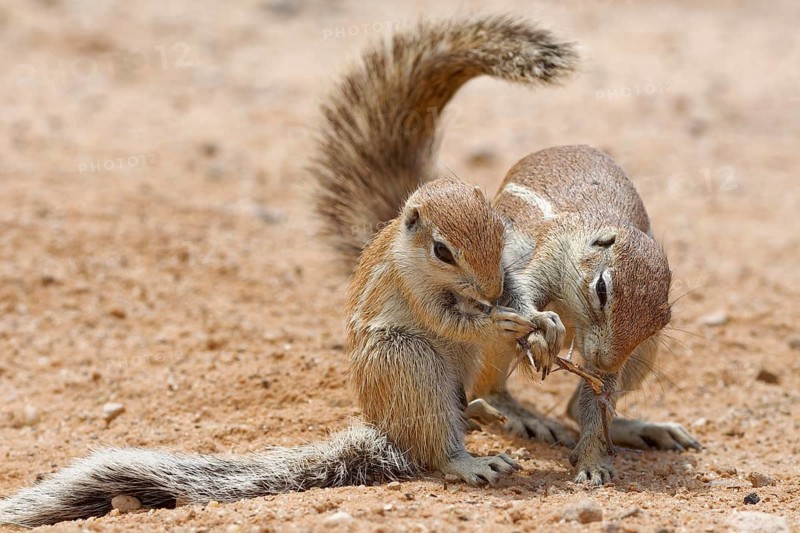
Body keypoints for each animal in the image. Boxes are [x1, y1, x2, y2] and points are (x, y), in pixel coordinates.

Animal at [0, 16, 575, 527]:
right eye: (442, 250)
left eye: (500, 226)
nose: (490, 292)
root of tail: (385, 432)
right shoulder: (412, 288)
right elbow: (446, 318)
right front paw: (494, 319)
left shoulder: (504, 268)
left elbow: (519, 287)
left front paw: (539, 319)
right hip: (407, 364)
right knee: (435, 447)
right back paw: (471, 460)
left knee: (468, 402)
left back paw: (496, 412)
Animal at [472, 145, 702, 485]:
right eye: (602, 289)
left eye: (663, 321)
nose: (606, 362)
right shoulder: (551, 251)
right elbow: (525, 291)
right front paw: (542, 329)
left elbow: (598, 399)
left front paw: (593, 462)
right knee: (487, 390)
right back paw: (528, 419)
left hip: (645, 354)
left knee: (575, 409)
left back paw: (645, 430)